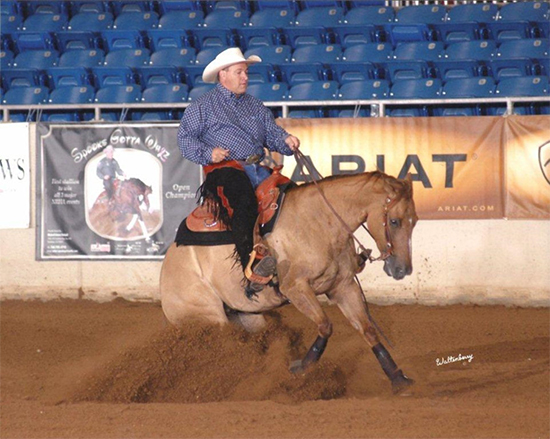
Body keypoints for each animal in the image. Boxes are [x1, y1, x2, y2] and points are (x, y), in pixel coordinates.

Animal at [162, 170, 420, 394]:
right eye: (394, 221)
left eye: (415, 220)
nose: (402, 269)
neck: (318, 221)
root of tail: (166, 270)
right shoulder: (296, 289)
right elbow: (325, 325)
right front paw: (301, 368)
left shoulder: (343, 286)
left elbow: (368, 330)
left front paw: (398, 379)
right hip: (208, 318)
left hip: (246, 317)